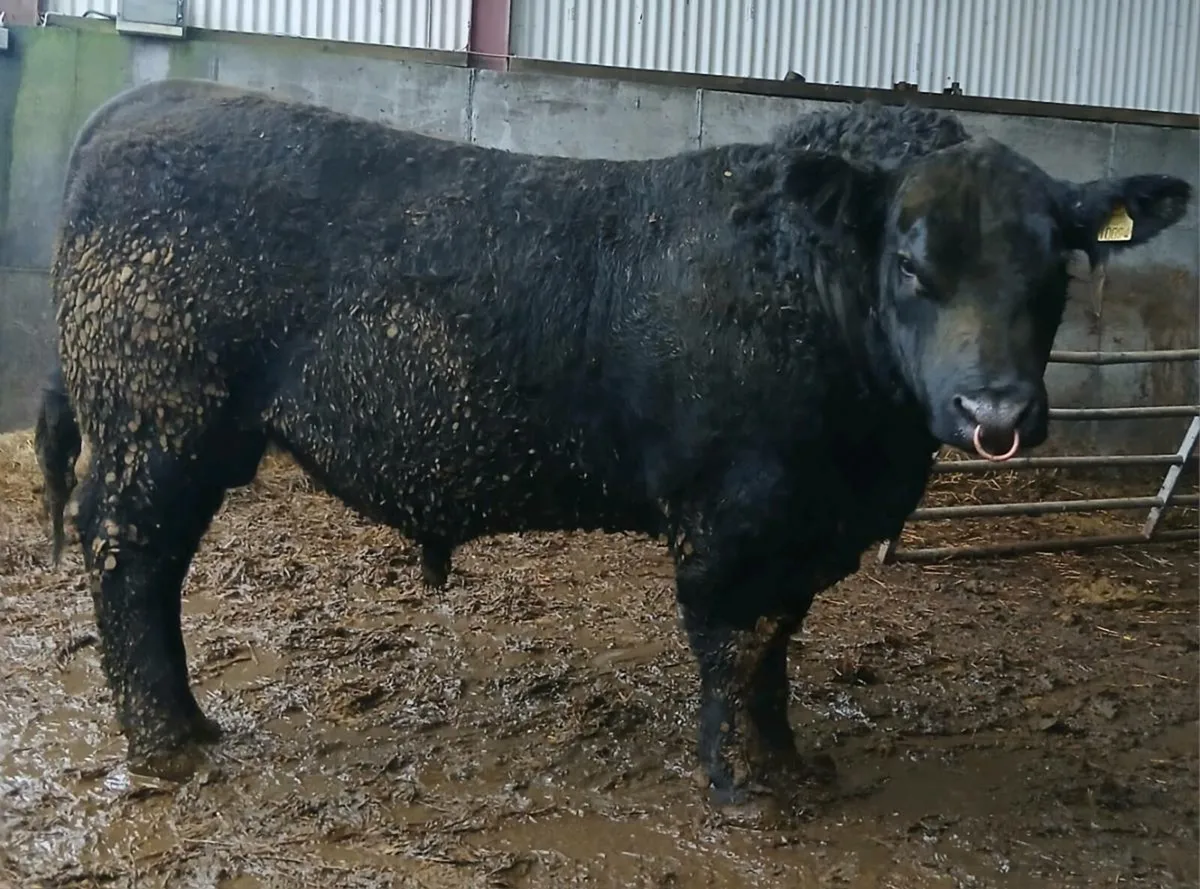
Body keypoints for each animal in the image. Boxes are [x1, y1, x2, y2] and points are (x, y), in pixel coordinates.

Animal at [37, 78, 1191, 811]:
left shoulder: (802, 524)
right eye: (910, 263)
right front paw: (745, 787)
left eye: (1056, 264)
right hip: (157, 423)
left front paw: (790, 763)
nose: (995, 412)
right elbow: (735, 640)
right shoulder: (733, 514)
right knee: (129, 560)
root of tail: (140, 106)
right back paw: (174, 742)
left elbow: (779, 642)